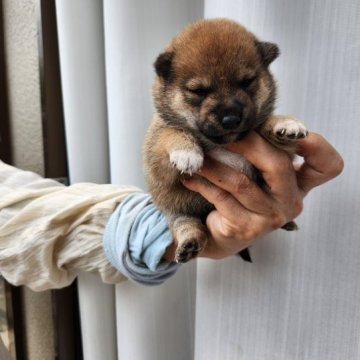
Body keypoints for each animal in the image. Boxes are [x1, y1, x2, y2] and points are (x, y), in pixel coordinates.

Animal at [143, 18, 306, 262]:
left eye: (247, 82)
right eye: (198, 91)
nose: (230, 119)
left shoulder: (282, 152)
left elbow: (263, 124)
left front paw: (284, 123)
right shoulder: (158, 164)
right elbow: (171, 133)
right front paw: (186, 152)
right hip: (177, 209)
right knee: (185, 223)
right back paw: (190, 241)